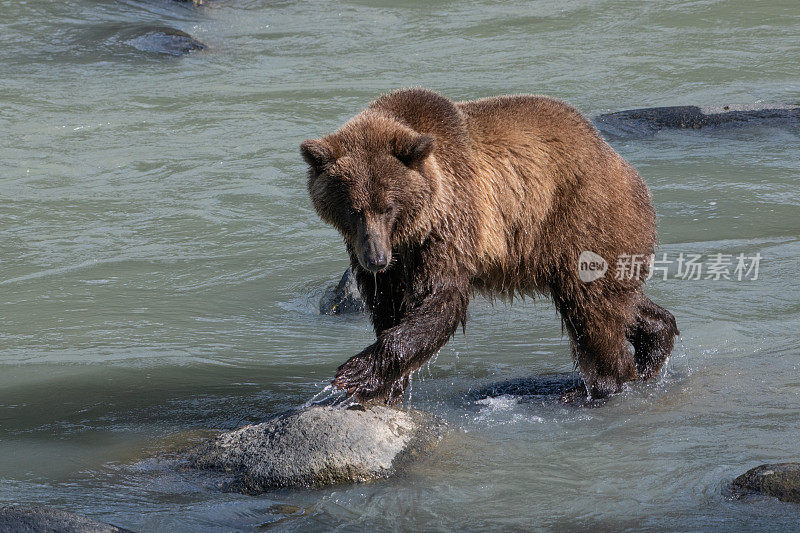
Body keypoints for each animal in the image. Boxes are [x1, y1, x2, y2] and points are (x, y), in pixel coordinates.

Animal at [304, 88, 680, 404]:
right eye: (353, 209)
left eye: (388, 206)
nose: (377, 259)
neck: (410, 232)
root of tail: (619, 160)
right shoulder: (392, 254)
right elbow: (388, 305)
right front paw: (387, 385)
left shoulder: (451, 223)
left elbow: (439, 300)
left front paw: (354, 374)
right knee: (618, 298)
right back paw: (654, 347)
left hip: (580, 216)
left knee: (590, 305)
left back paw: (598, 385)